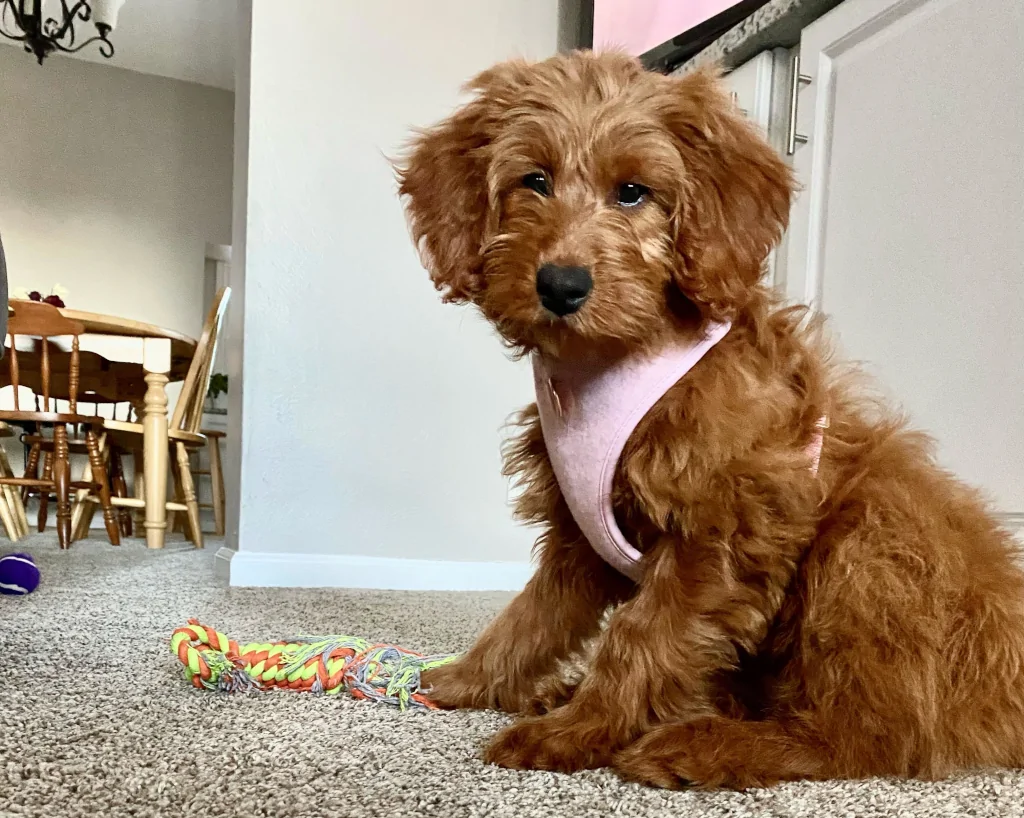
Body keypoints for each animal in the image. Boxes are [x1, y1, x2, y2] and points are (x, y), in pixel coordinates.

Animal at [395, 49, 1019, 786]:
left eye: (632, 192)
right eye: (535, 181)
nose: (561, 285)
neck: (614, 359)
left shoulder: (720, 534)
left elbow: (638, 638)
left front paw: (579, 730)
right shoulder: (579, 537)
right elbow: (534, 613)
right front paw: (471, 678)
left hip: (869, 540)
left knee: (864, 736)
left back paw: (701, 745)